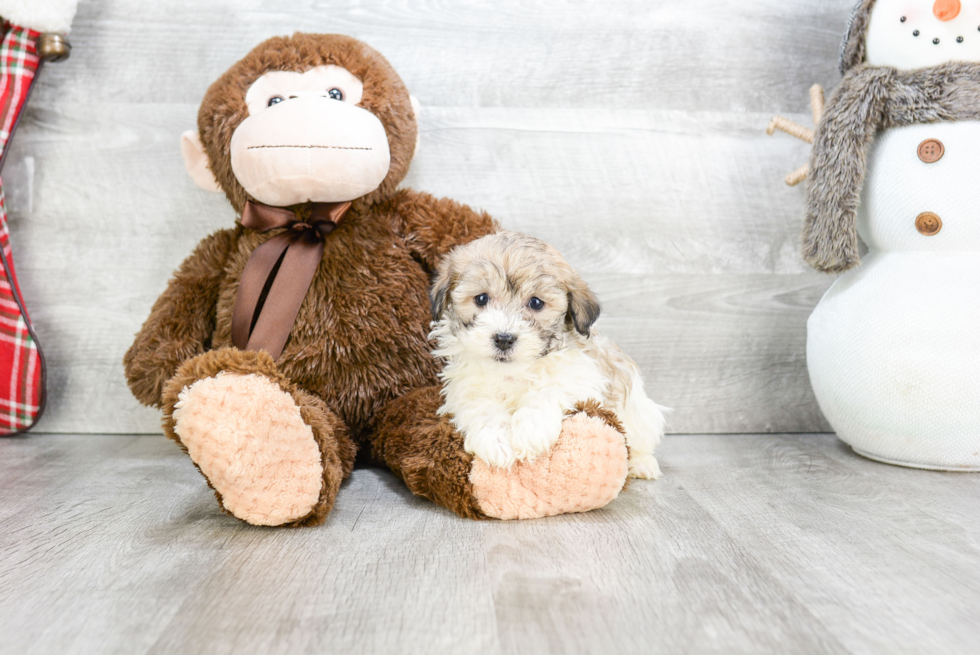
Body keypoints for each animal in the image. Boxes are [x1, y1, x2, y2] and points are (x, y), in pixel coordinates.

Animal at [430, 233, 668, 480]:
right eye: (481, 299)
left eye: (536, 303)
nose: (504, 338)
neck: (513, 372)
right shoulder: (465, 386)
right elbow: (481, 405)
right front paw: (495, 439)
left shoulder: (580, 374)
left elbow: (548, 390)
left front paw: (529, 430)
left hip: (640, 414)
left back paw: (641, 463)